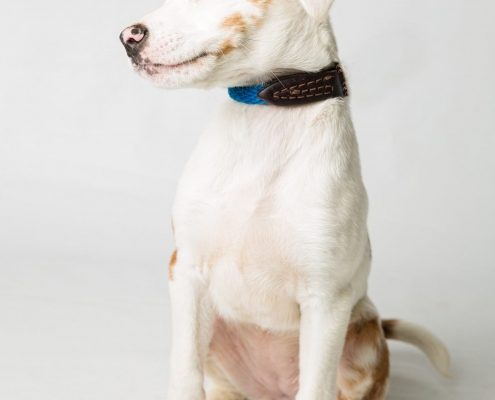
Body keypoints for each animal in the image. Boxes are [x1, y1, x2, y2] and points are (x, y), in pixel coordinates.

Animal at [120, 1, 450, 398]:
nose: (128, 37)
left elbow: (316, 387)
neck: (266, 119)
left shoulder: (326, 301)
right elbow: (184, 376)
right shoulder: (186, 269)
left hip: (364, 341)